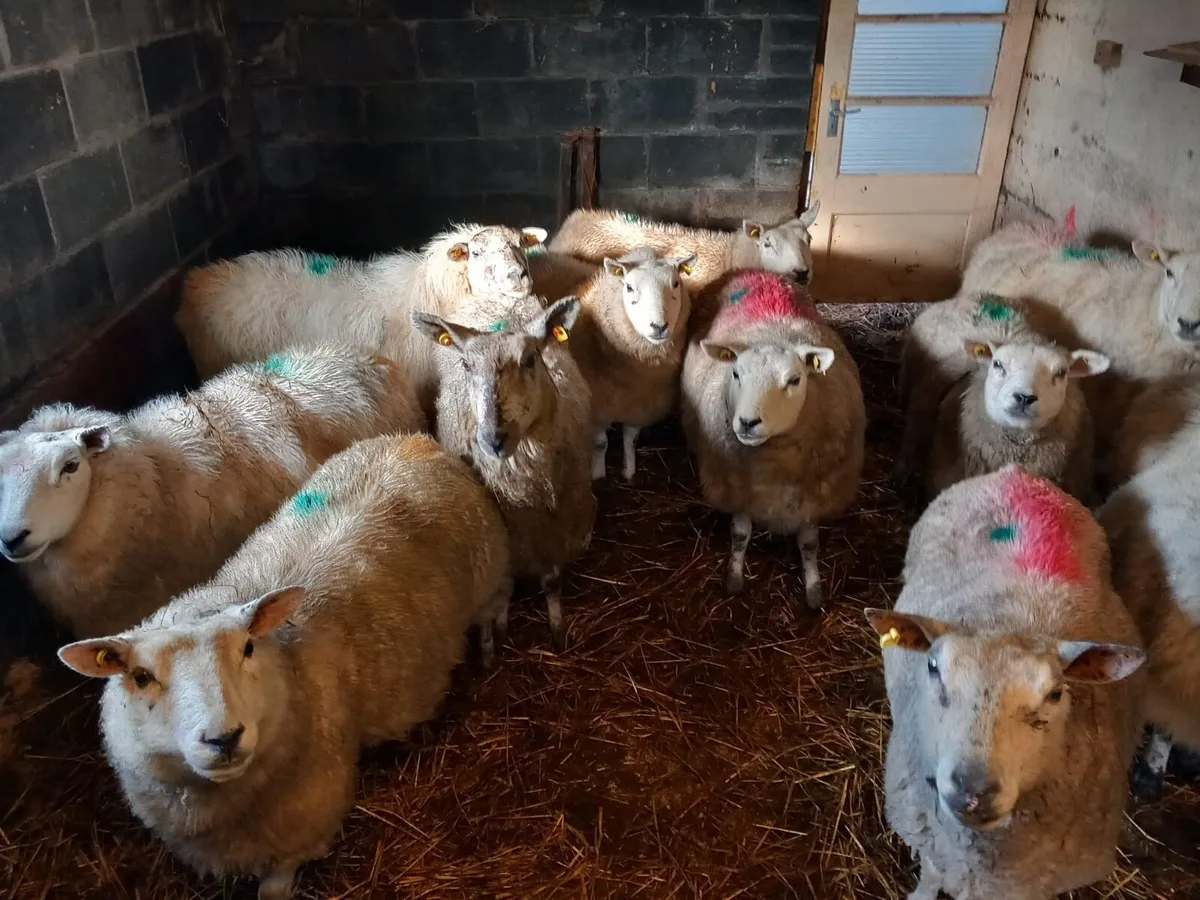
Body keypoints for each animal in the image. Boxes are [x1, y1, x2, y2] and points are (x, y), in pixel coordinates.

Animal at [57, 432, 511, 900]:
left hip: (490, 573)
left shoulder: (300, 827)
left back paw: (488, 646)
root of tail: (413, 441)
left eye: (247, 648)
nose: (224, 738)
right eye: (141, 677)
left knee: (495, 606)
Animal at [411, 294, 596, 650]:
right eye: (466, 366)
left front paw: (557, 628)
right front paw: (498, 627)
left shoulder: (554, 528)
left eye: (530, 359)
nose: (493, 439)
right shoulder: (502, 537)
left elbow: (552, 581)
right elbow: (504, 585)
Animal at [680, 270, 865, 606]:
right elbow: (740, 534)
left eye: (794, 380)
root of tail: (753, 271)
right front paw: (734, 577)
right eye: (736, 373)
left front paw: (814, 588)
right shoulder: (737, 490)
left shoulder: (815, 496)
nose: (747, 422)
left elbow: (809, 544)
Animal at [867, 464, 1145, 900]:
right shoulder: (929, 838)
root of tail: (1018, 473)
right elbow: (929, 875)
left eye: (1055, 693)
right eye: (933, 667)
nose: (973, 792)